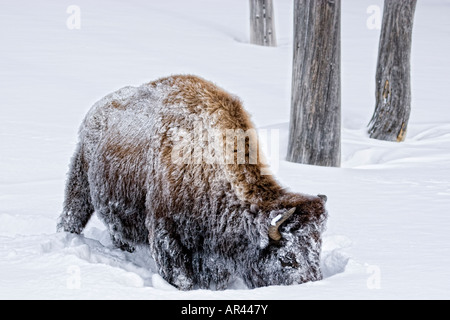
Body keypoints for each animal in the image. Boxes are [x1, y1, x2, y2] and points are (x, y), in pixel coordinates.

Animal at [58, 75, 328, 290]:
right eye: (287, 259)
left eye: (317, 251)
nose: (311, 286)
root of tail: (96, 110)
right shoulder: (166, 233)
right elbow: (181, 277)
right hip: (80, 181)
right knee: (72, 214)